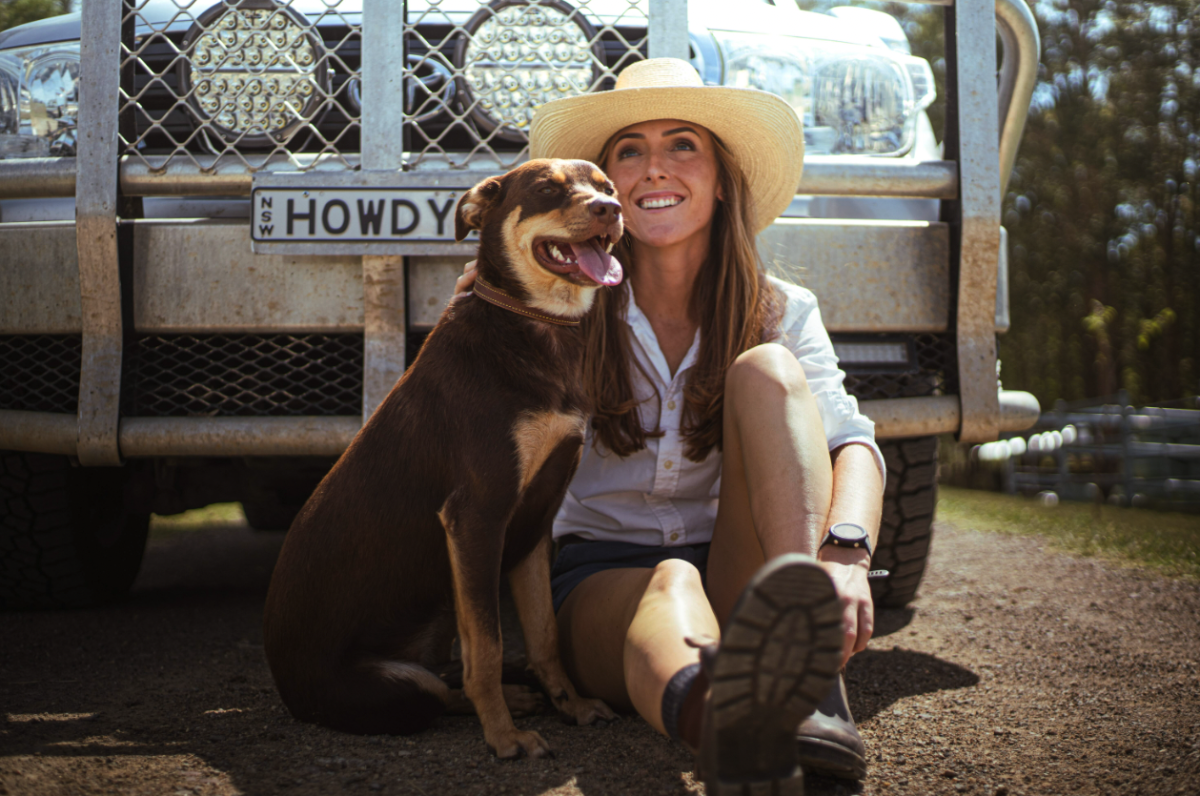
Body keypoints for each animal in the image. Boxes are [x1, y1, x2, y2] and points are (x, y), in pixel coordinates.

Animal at [261, 157, 619, 758]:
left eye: (607, 187)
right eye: (548, 189)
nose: (611, 210)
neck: (534, 321)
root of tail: (287, 692)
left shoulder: (534, 522)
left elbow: (544, 635)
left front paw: (568, 704)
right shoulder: (477, 516)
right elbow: (490, 646)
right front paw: (504, 737)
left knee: (448, 675)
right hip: (396, 686)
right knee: (439, 687)